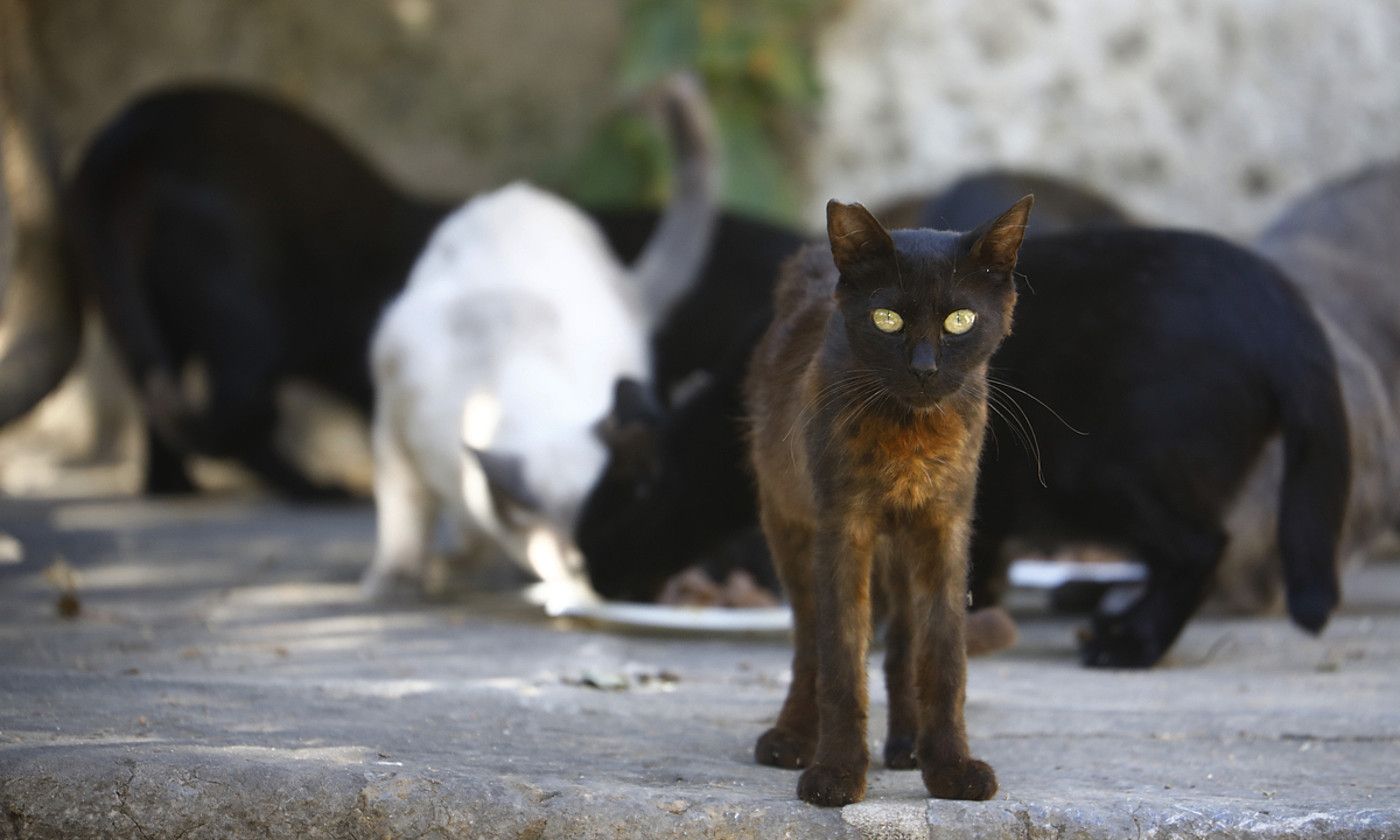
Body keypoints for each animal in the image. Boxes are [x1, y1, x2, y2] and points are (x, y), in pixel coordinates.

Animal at [361, 75, 716, 607]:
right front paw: (398, 581)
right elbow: (406, 517)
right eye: (580, 561)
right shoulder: (395, 435)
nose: (618, 592)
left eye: (652, 543)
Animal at [750, 193, 1036, 806]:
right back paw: (791, 737)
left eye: (960, 320)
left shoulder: (945, 528)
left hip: (901, 552)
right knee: (808, 644)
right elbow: (840, 661)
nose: (924, 368)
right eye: (888, 319)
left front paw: (950, 768)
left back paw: (907, 746)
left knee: (903, 647)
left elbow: (944, 661)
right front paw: (835, 774)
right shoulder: (843, 529)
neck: (912, 433)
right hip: (788, 526)